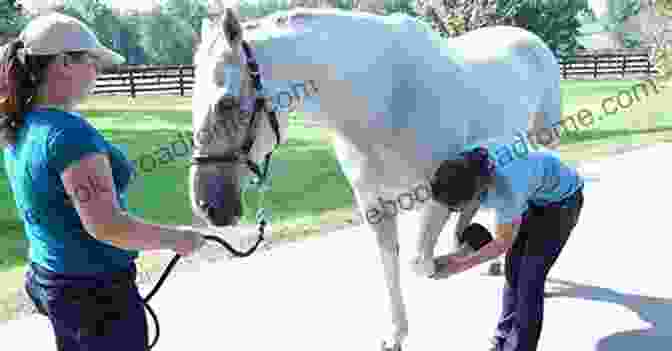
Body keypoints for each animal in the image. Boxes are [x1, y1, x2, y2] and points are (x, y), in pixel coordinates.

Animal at [189, 6, 560, 350]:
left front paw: (448, 261)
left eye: (226, 103)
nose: (207, 206)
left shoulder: (441, 191)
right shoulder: (375, 202)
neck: (384, 98)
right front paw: (396, 334)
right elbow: (391, 264)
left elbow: (419, 262)